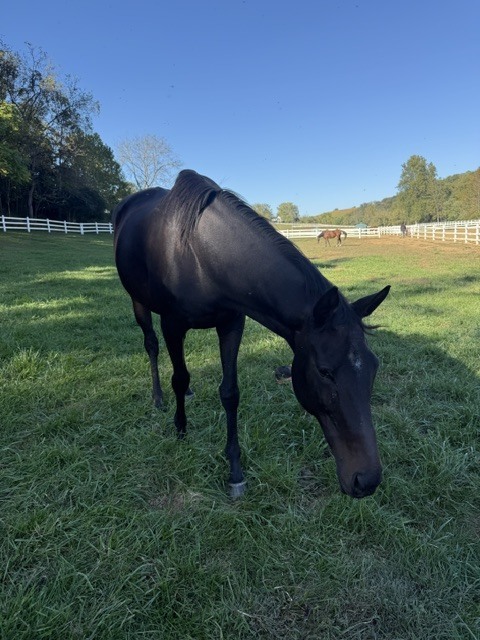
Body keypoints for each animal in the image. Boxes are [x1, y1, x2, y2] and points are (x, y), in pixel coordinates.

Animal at [113, 170, 390, 499]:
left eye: (374, 367)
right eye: (325, 372)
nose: (367, 480)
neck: (199, 255)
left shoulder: (232, 324)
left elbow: (230, 392)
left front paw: (234, 470)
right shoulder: (173, 324)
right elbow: (179, 378)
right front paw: (180, 429)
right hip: (138, 302)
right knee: (152, 346)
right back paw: (158, 398)